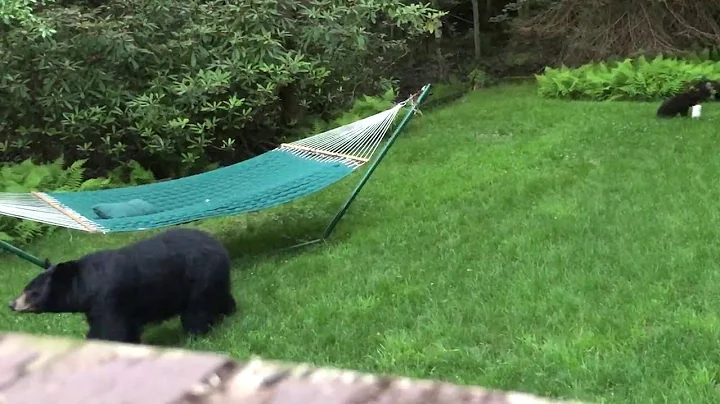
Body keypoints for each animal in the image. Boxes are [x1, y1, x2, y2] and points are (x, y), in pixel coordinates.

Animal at [8, 227, 237, 344]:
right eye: (25, 288)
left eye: (32, 292)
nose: (11, 304)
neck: (86, 284)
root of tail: (219, 246)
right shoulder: (97, 306)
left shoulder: (108, 298)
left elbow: (112, 329)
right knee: (219, 295)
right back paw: (228, 312)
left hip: (199, 276)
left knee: (196, 310)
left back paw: (196, 335)